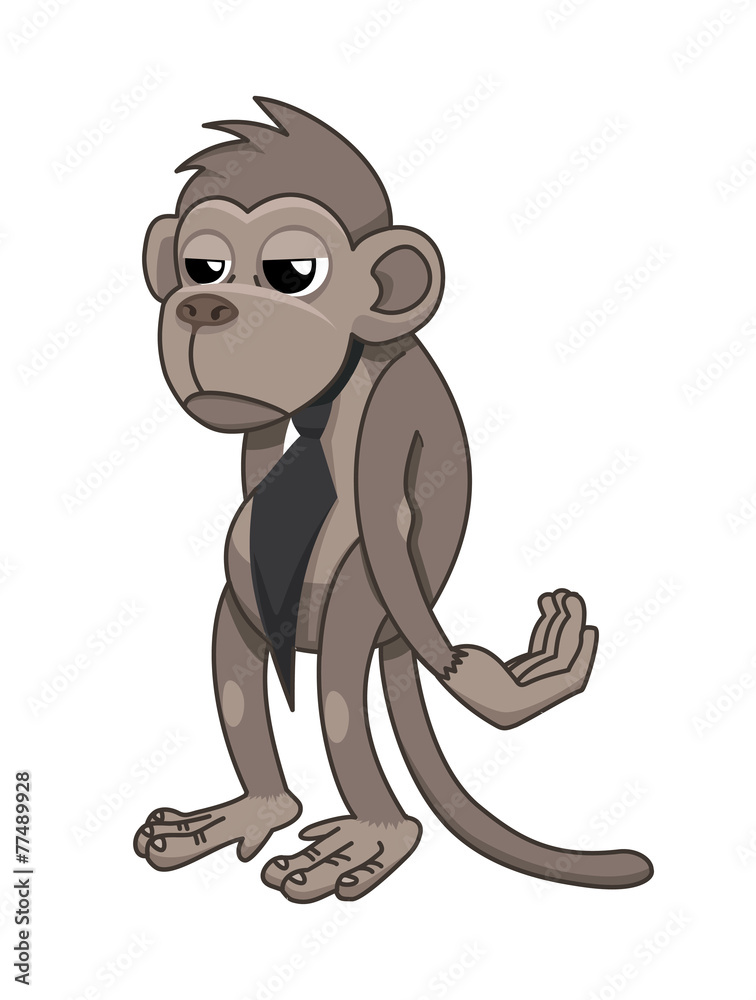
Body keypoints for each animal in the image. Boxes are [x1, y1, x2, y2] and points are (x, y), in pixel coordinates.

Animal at [133, 98, 653, 903]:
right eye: (203, 265)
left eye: (292, 272)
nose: (205, 306)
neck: (337, 382)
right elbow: (254, 497)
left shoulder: (388, 413)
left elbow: (383, 517)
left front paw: (488, 684)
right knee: (235, 634)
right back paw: (258, 808)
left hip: (365, 605)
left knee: (341, 674)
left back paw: (377, 835)